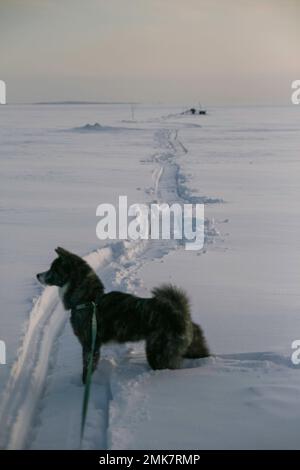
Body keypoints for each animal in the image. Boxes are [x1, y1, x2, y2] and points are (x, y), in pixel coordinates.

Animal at [37, 246, 209, 382]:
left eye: (53, 269)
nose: (37, 275)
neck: (88, 299)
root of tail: (180, 311)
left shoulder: (90, 345)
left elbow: (87, 371)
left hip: (158, 353)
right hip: (190, 346)